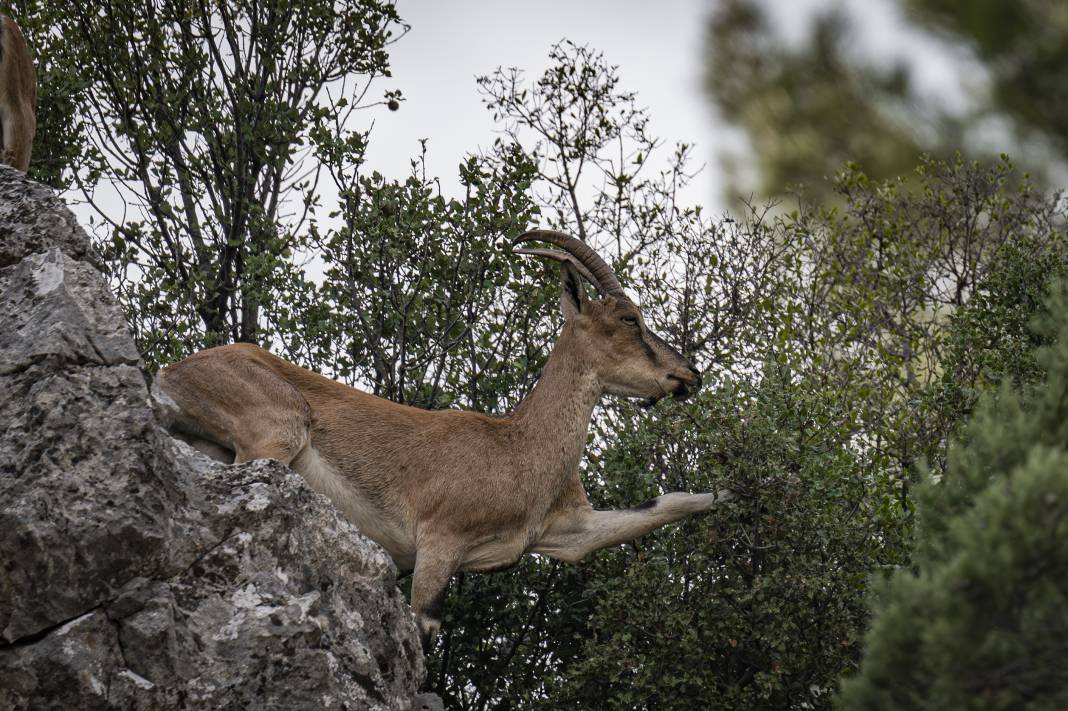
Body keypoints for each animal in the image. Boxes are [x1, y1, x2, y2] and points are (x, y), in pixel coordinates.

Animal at [158, 231, 734, 649]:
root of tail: (172, 374)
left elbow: (663, 505)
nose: (688, 374)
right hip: (276, 431)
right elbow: (423, 629)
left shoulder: (564, 532)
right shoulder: (438, 543)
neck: (518, 447)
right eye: (628, 318)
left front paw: (736, 493)